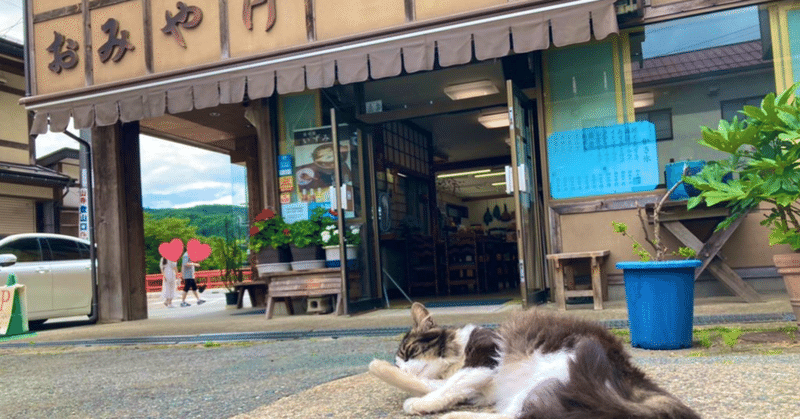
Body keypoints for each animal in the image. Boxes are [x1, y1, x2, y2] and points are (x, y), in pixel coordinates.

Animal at [370, 304, 700, 419]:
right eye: (400, 362)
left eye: (409, 352)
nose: (400, 366)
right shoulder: (473, 381)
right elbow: (434, 385)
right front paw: (387, 373)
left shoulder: (483, 361)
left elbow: (445, 386)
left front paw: (418, 402)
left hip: (551, 373)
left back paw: (451, 417)